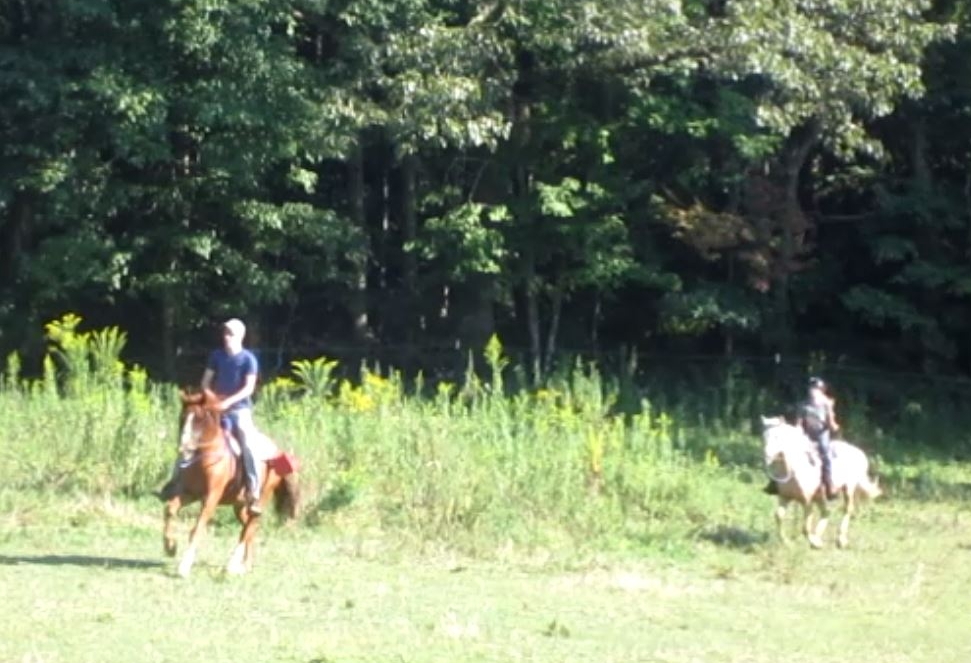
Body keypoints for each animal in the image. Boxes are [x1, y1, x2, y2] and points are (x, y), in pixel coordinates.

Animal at [163, 390, 300, 576]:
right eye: (182, 417)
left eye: (199, 419)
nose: (184, 450)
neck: (204, 458)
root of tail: (277, 450)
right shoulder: (189, 493)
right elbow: (170, 509)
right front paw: (170, 547)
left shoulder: (211, 498)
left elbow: (197, 528)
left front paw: (184, 567)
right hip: (239, 505)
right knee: (249, 527)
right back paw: (245, 564)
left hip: (261, 498)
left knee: (249, 527)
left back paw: (233, 564)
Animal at [760, 416, 880, 548]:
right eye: (764, 436)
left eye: (777, 436)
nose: (766, 455)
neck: (794, 469)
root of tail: (859, 452)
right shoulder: (785, 497)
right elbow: (779, 516)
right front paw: (786, 542)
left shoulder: (807, 501)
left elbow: (805, 527)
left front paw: (814, 542)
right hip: (820, 496)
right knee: (826, 512)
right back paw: (819, 536)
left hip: (848, 488)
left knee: (847, 510)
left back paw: (840, 540)